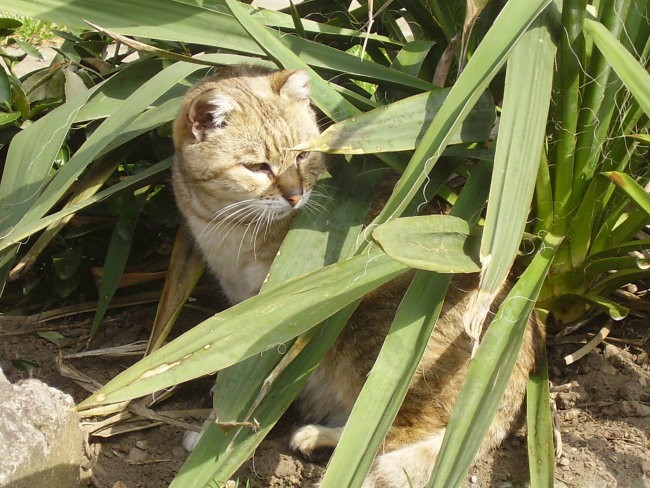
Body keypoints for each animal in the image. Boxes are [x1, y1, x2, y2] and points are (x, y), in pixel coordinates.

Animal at [171, 66, 536, 488]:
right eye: (258, 167)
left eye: (302, 155)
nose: (295, 195)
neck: (227, 227)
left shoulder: (274, 321)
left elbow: (252, 382)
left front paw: (213, 435)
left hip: (366, 334)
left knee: (389, 434)